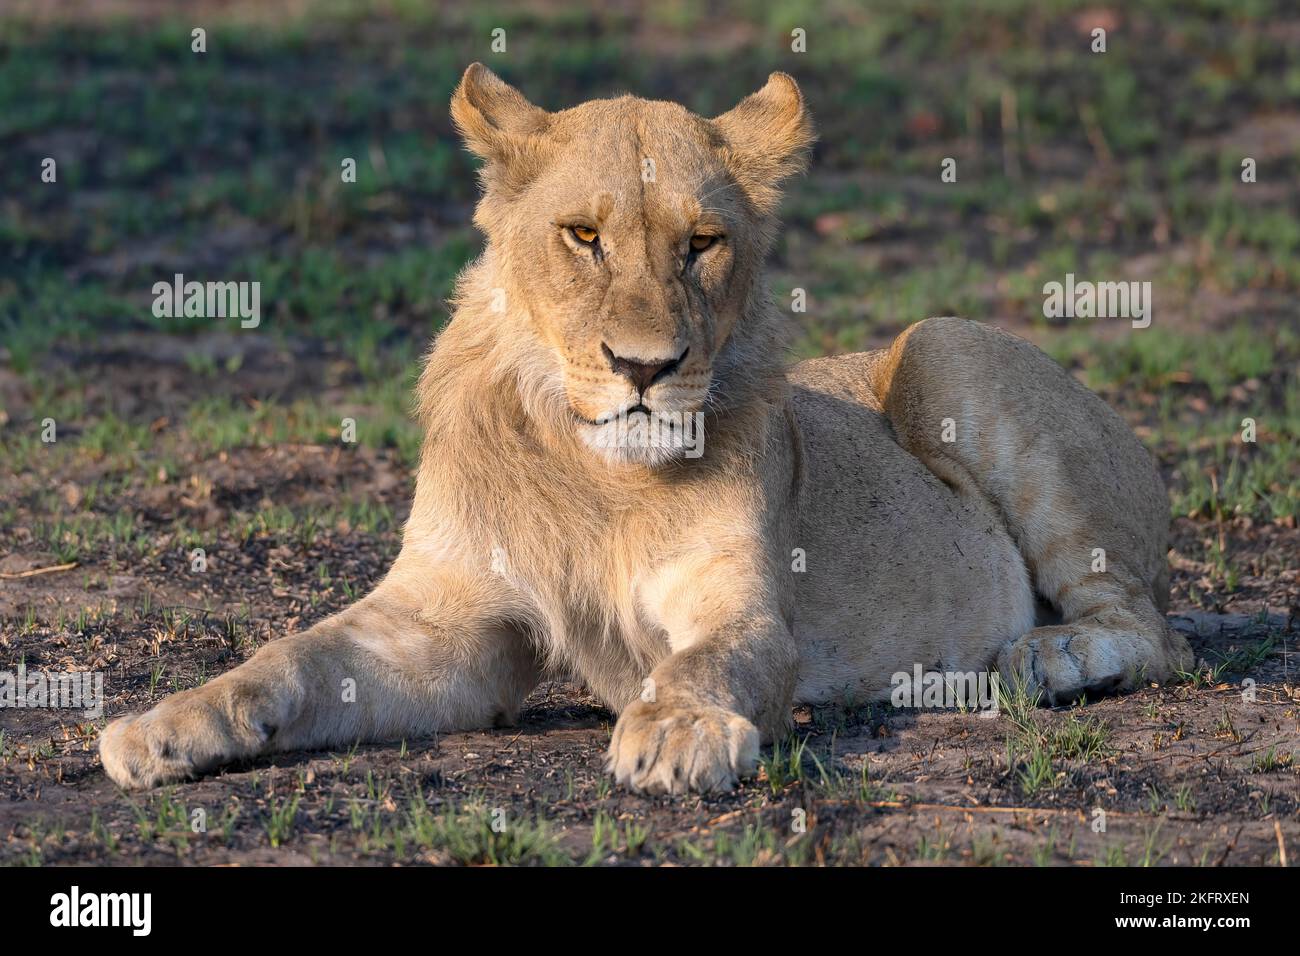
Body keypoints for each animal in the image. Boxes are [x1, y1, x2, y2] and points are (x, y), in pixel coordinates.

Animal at [98, 65, 1196, 790]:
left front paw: (674, 732)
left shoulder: (741, 608)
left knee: (1152, 629)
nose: (644, 368)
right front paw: (163, 724)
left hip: (944, 342)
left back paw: (1043, 658)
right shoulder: (447, 630)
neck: (597, 472)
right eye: (582, 235)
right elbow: (290, 653)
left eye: (701, 243)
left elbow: (702, 661)